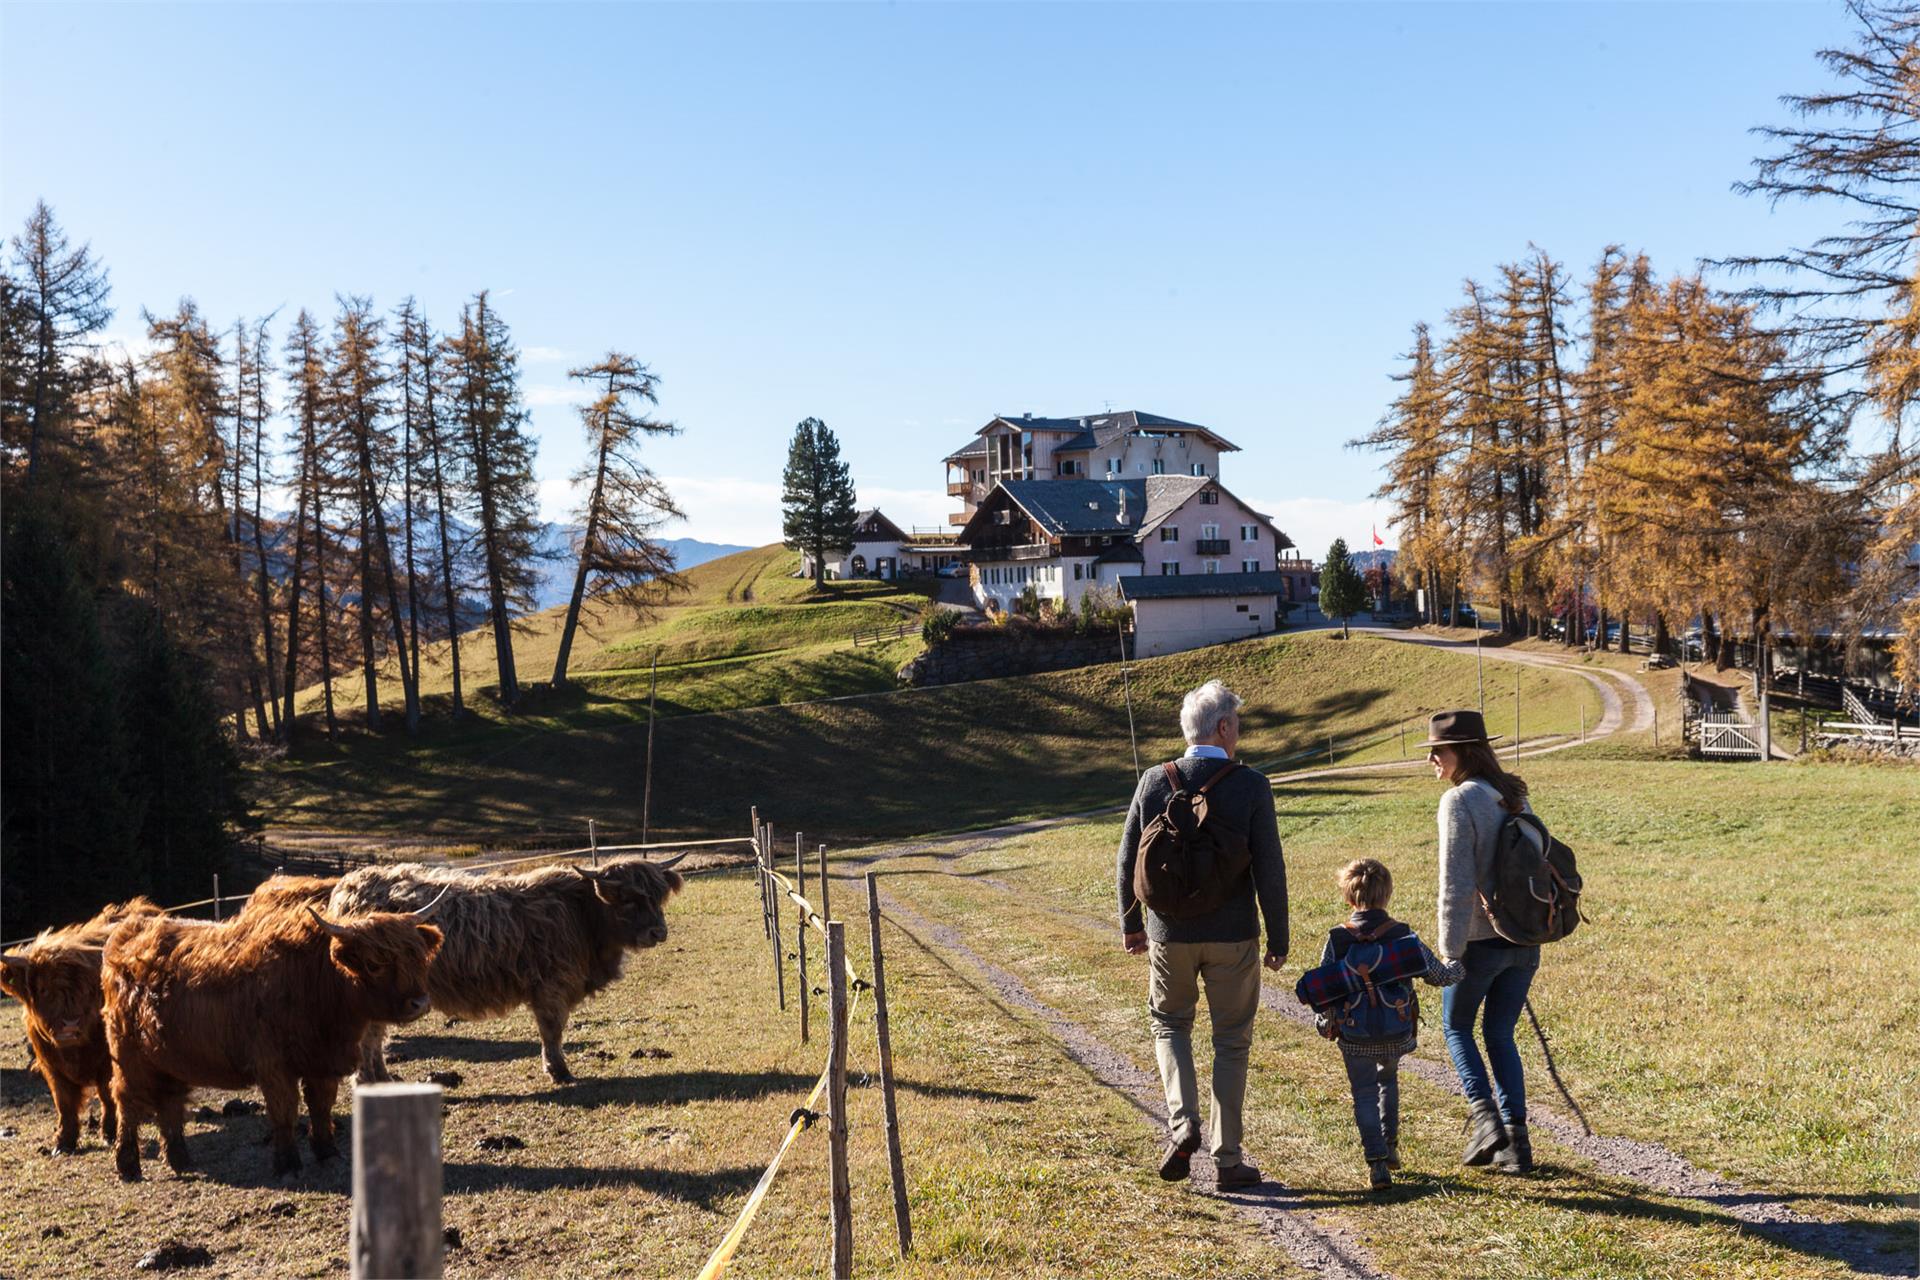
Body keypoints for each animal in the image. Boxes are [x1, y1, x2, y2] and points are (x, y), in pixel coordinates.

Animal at [0, 898, 162, 1159]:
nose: (69, 1025)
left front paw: (109, 1133)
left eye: (87, 990)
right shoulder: (51, 1067)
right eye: (44, 989)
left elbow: (107, 1095)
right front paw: (63, 1142)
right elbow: (64, 1103)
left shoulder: (108, 1061)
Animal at [101, 901, 441, 1182]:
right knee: (127, 1103)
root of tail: (127, 933)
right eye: (374, 964)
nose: (420, 1002)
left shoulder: (322, 1062)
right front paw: (288, 1164)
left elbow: (321, 1107)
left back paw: (180, 1160)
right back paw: (128, 1166)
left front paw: (328, 1152)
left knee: (170, 1102)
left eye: (417, 957)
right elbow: (285, 1112)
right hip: (129, 1057)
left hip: (169, 1059)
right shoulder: (274, 1067)